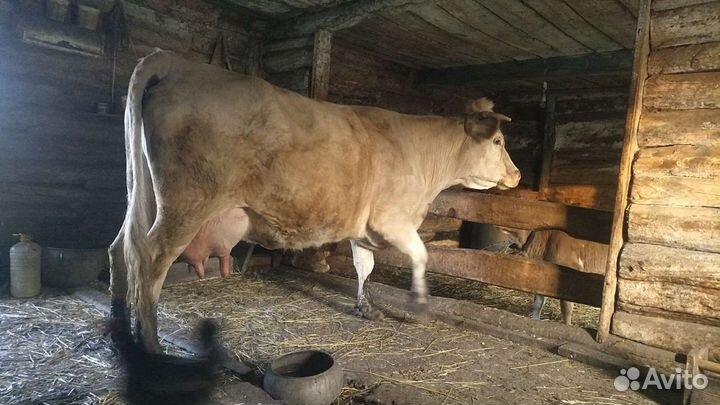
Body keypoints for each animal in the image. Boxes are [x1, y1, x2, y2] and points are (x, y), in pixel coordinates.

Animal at [108, 50, 521, 351]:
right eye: (498, 141)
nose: (516, 175)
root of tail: (173, 61)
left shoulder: (363, 227)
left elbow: (364, 267)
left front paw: (366, 308)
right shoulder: (392, 219)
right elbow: (421, 256)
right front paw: (419, 305)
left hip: (142, 196)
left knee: (120, 249)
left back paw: (120, 330)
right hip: (185, 204)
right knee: (150, 258)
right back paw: (149, 344)